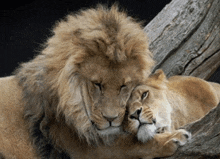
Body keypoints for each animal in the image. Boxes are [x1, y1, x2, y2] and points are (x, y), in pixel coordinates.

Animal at [0, 4, 189, 159]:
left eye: (123, 86)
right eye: (97, 84)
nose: (111, 119)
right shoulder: (81, 148)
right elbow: (130, 144)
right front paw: (173, 138)